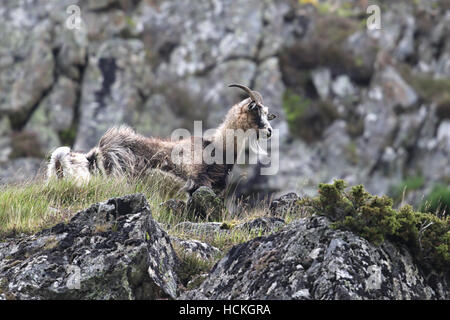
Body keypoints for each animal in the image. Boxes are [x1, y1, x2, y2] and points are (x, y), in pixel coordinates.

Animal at [47, 84, 276, 195]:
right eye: (257, 111)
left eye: (267, 113)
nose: (270, 131)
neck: (217, 148)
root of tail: (94, 155)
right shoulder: (196, 180)